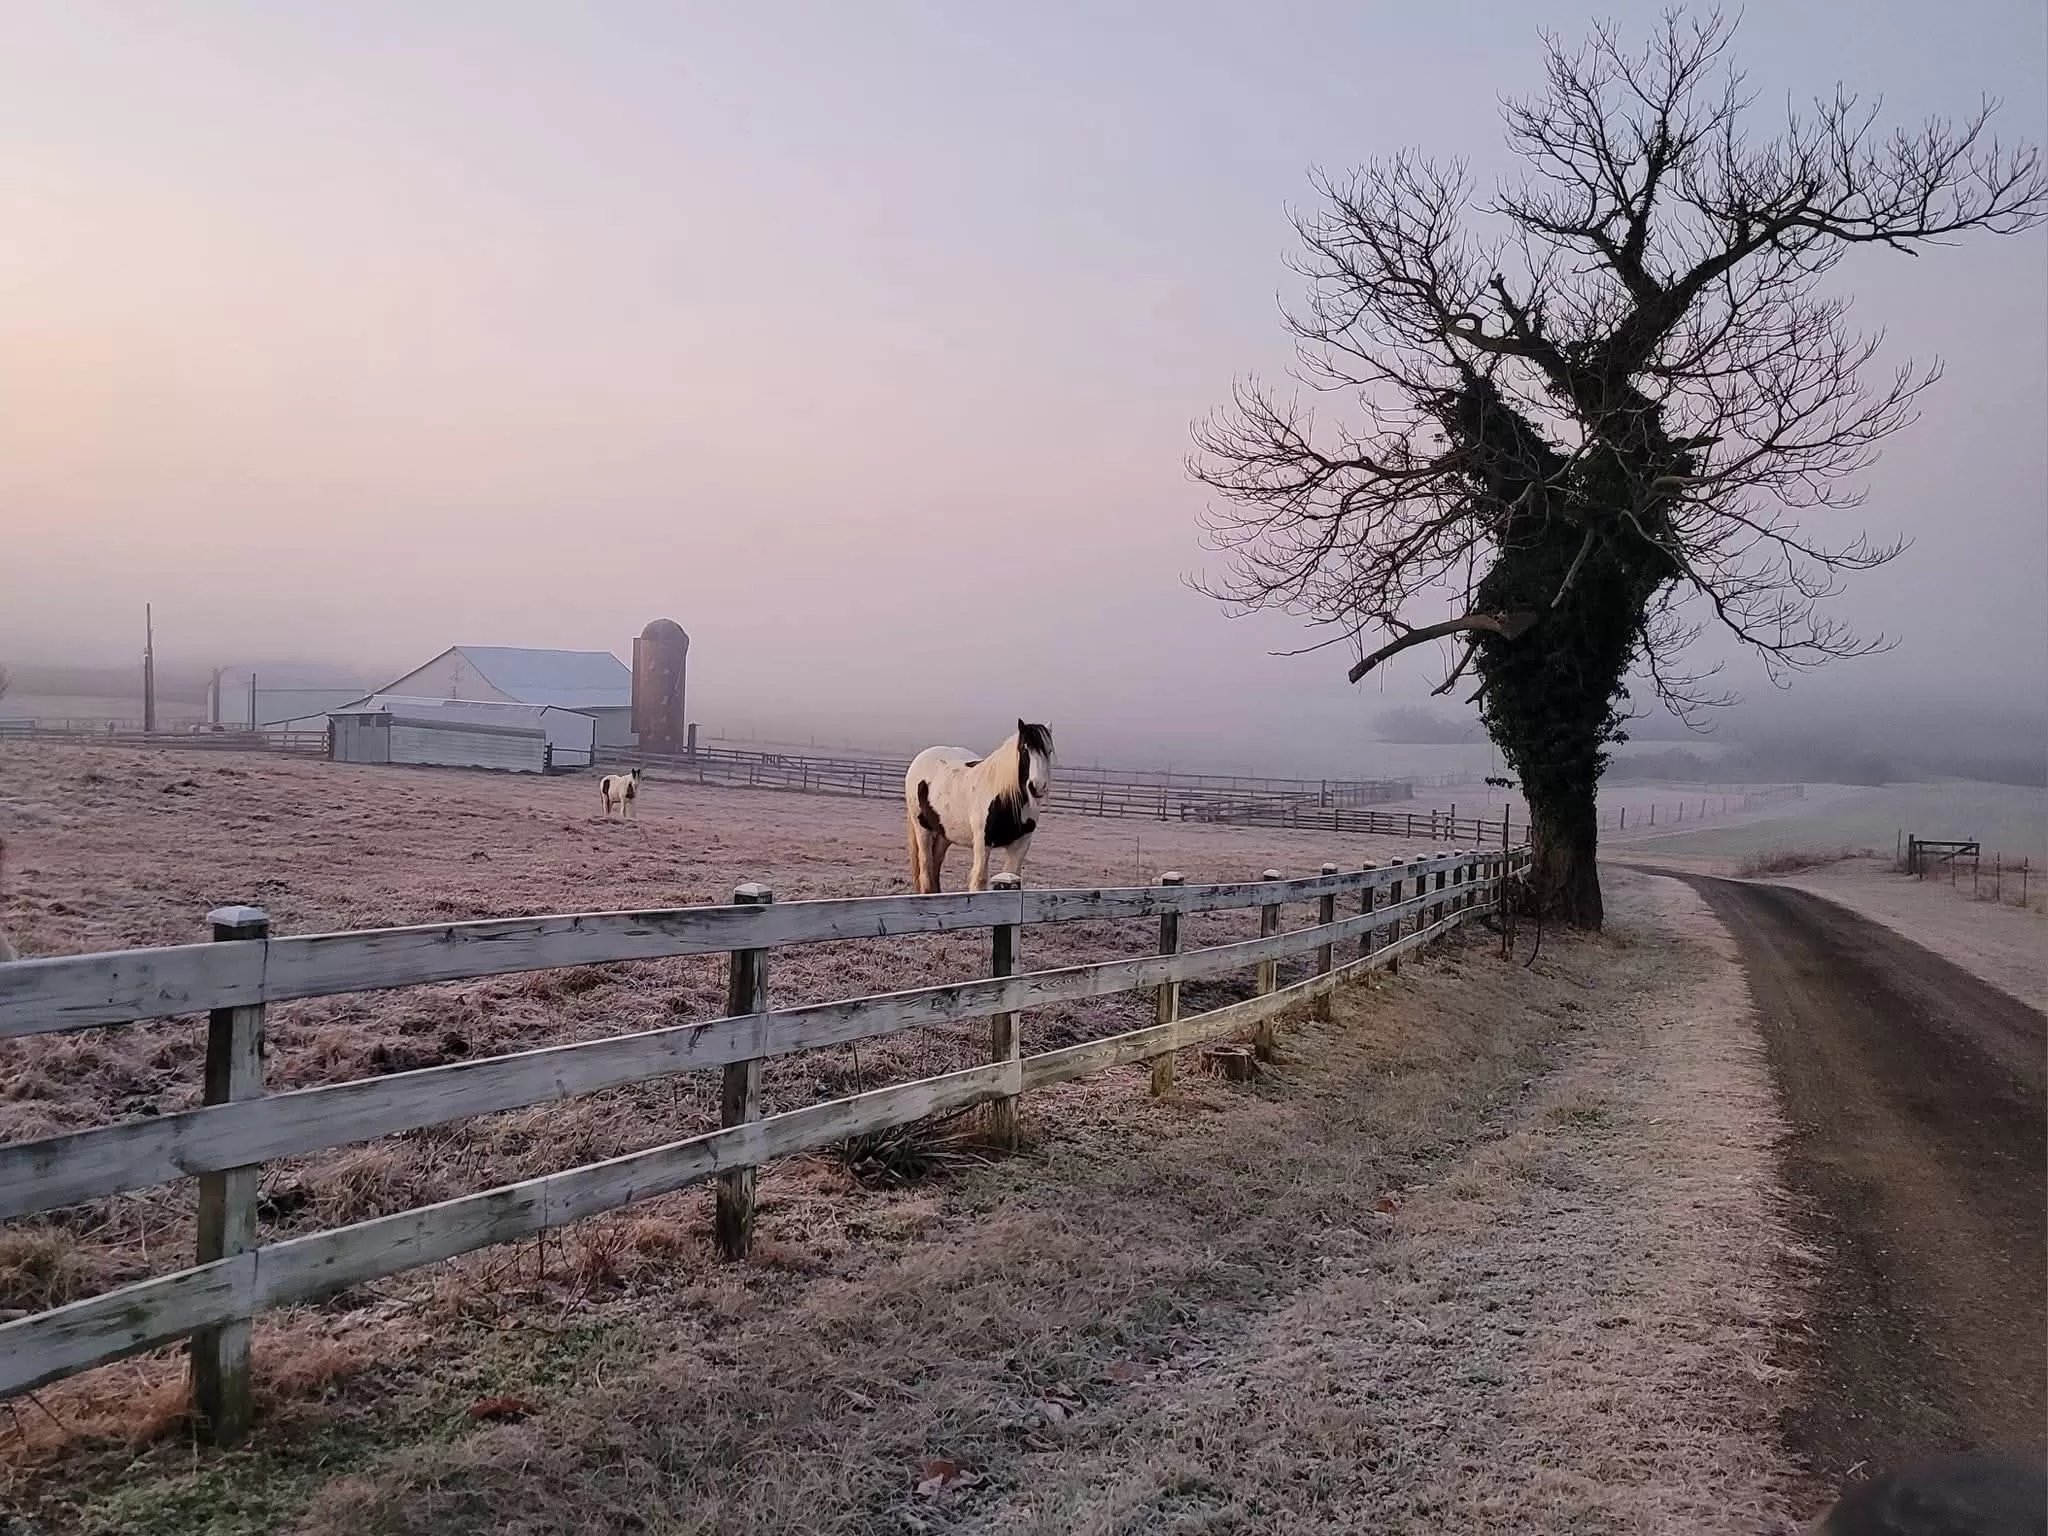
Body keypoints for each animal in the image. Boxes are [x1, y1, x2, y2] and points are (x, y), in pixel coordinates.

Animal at [904, 721, 1053, 893]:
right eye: (1024, 749)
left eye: (1049, 751)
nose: (1037, 787)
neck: (1006, 797)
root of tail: (920, 758)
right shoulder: (983, 842)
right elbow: (979, 881)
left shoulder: (1021, 844)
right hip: (922, 828)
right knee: (926, 868)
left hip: (945, 833)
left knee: (936, 863)